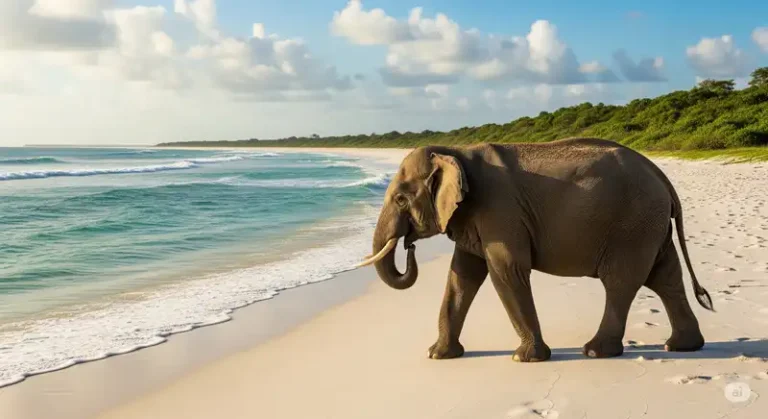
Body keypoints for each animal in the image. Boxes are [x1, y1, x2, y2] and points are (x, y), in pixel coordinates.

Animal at [357, 137, 714, 362]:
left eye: (400, 199)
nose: (409, 245)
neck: (456, 152)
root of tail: (661, 175)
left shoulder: (500, 212)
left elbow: (506, 271)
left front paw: (525, 359)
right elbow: (462, 276)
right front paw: (437, 355)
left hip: (632, 225)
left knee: (621, 281)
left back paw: (595, 351)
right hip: (649, 225)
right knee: (664, 277)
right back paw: (682, 347)